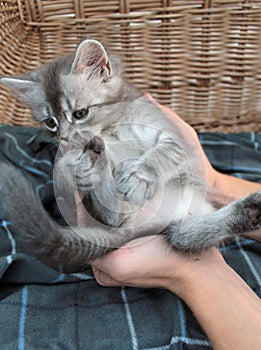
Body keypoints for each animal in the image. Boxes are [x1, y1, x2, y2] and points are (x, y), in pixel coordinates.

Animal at [0, 39, 260, 272]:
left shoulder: (175, 139)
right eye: (50, 123)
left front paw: (138, 178)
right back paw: (92, 162)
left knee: (185, 236)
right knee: (116, 217)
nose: (64, 137)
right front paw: (81, 161)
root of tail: (147, 225)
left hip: (187, 217)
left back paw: (249, 211)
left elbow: (161, 154)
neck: (111, 127)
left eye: (80, 113)